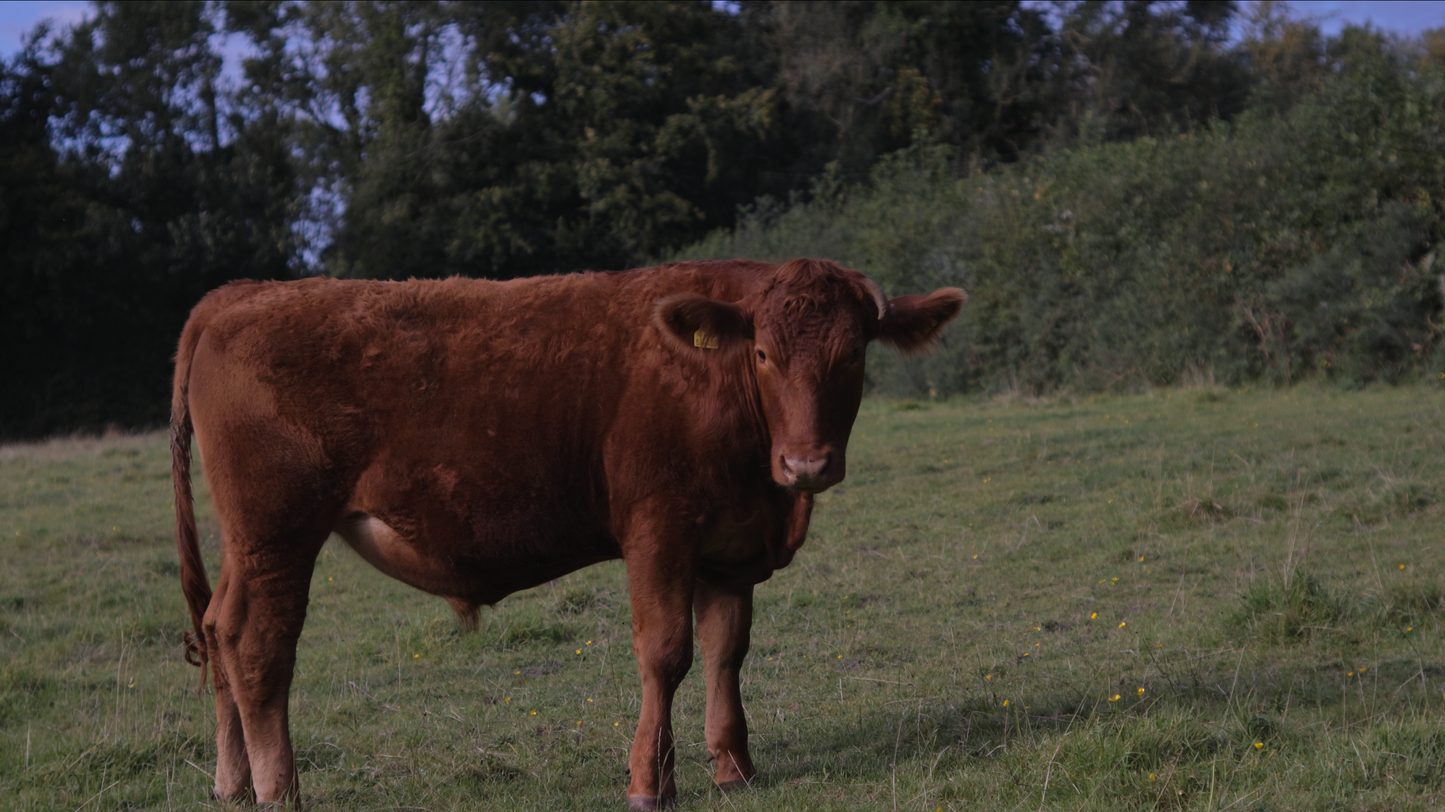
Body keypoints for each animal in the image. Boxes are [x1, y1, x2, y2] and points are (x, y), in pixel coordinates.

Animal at [169, 257, 965, 803]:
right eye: (764, 353)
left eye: (853, 355)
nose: (807, 463)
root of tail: (242, 292)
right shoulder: (658, 529)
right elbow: (666, 653)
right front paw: (649, 782)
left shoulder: (729, 549)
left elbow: (725, 652)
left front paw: (734, 768)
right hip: (277, 532)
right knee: (259, 644)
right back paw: (279, 789)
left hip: (247, 544)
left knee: (218, 628)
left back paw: (232, 783)